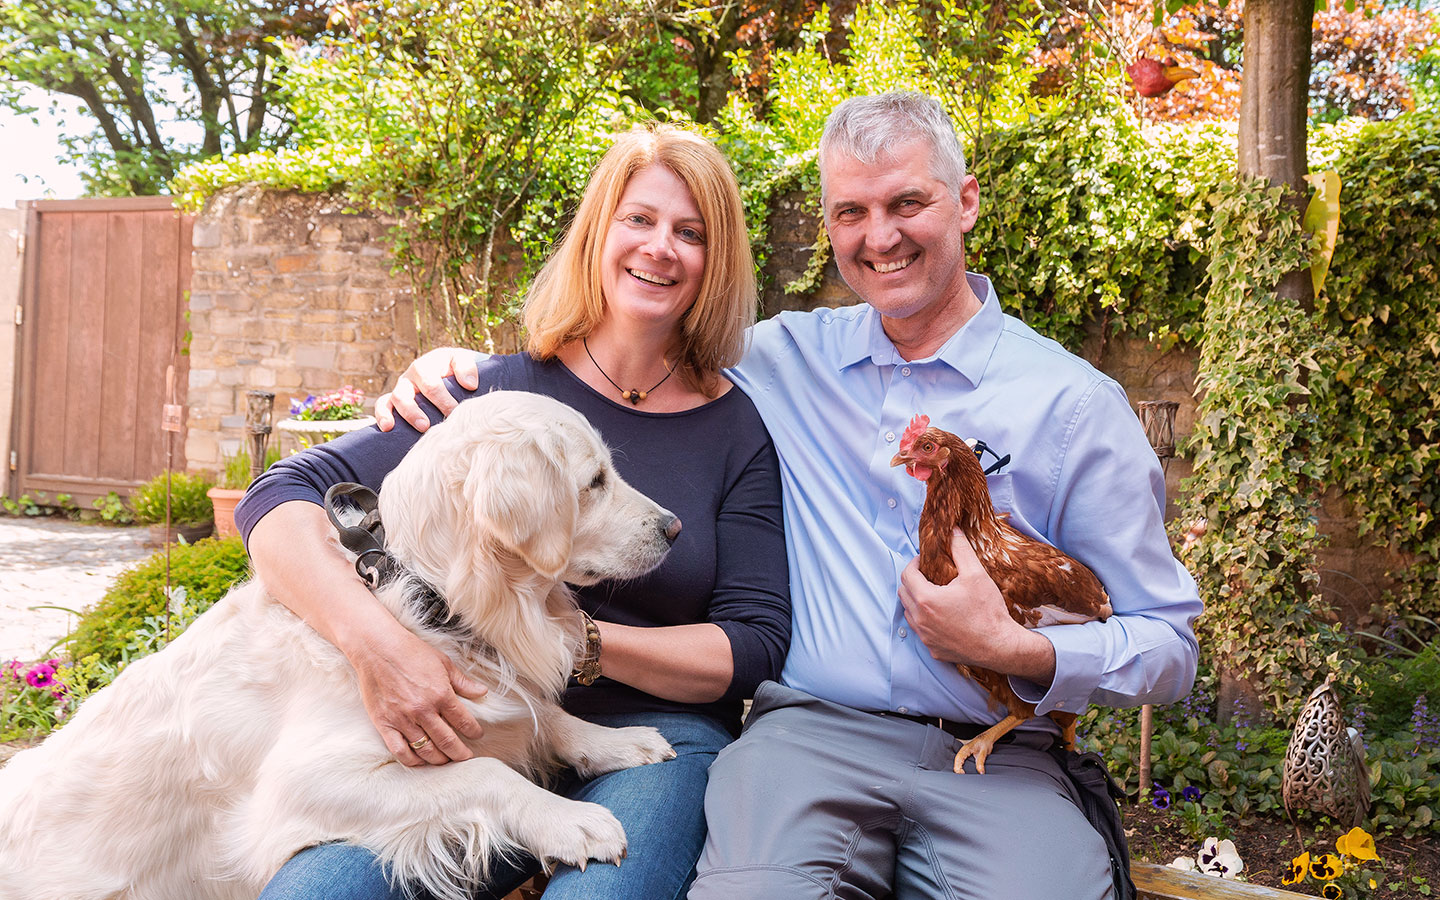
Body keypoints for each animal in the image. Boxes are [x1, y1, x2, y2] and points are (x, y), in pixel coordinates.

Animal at [0, 391, 682, 898]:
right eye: (593, 481)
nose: (674, 527)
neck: (431, 599)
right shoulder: (302, 786)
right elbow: (485, 770)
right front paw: (570, 821)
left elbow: (545, 716)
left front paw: (615, 741)